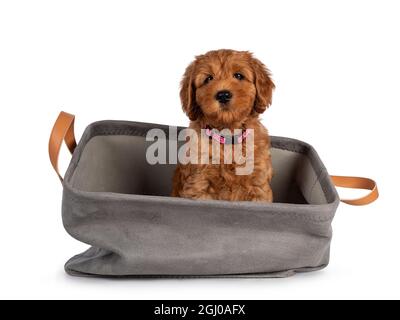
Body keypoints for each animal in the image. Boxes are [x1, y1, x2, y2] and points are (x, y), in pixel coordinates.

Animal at [172, 48, 276, 201]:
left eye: (238, 75)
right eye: (208, 79)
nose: (223, 95)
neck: (227, 135)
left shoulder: (258, 186)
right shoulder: (199, 184)